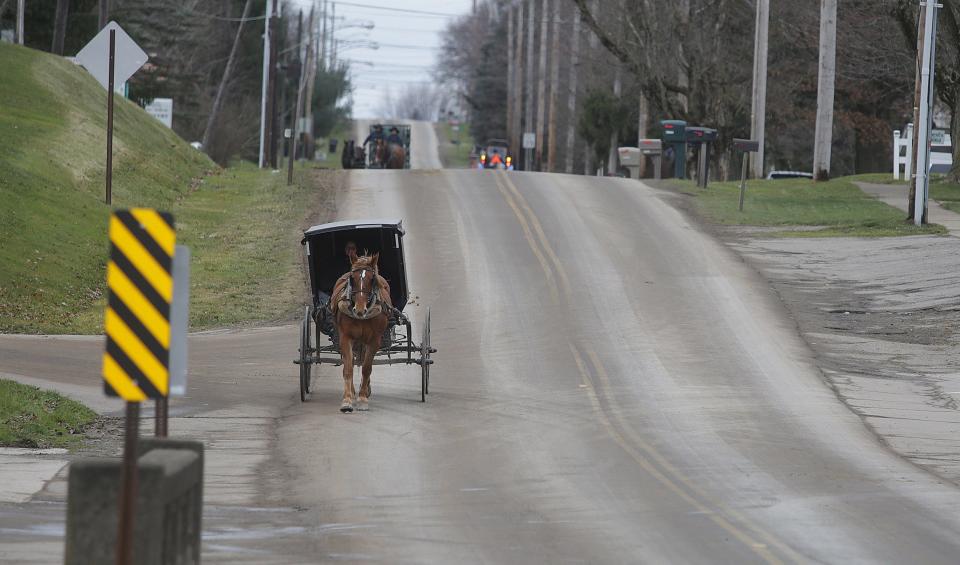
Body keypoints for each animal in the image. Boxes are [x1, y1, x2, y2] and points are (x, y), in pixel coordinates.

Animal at [330, 251, 390, 410]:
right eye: (352, 278)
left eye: (372, 279)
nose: (359, 309)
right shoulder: (345, 337)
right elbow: (348, 368)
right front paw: (347, 399)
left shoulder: (374, 340)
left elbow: (367, 368)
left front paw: (363, 399)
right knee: (351, 362)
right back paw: (352, 391)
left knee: (363, 362)